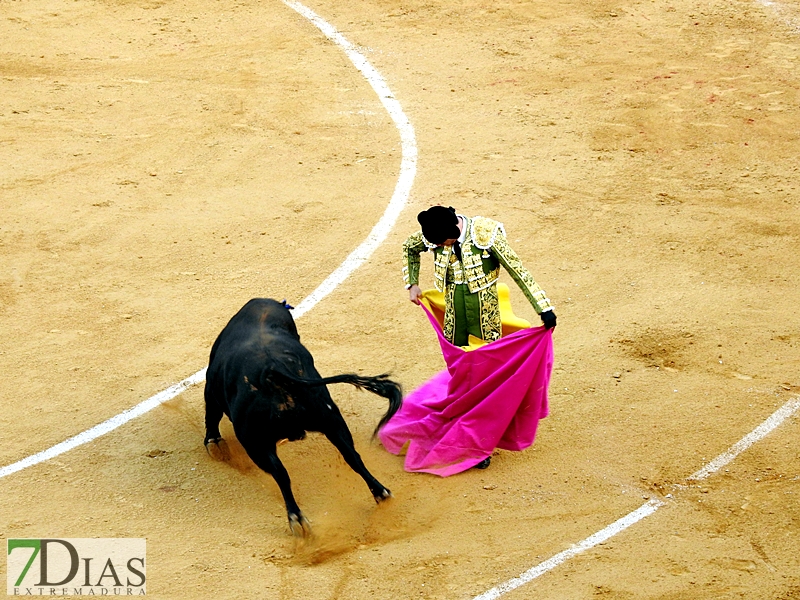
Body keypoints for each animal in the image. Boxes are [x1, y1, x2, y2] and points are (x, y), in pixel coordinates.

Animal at [205, 298, 404, 536]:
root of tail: (273, 370)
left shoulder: (212, 389)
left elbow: (212, 415)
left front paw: (214, 443)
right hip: (330, 418)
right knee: (351, 455)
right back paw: (381, 493)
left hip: (255, 441)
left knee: (280, 473)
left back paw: (297, 520)